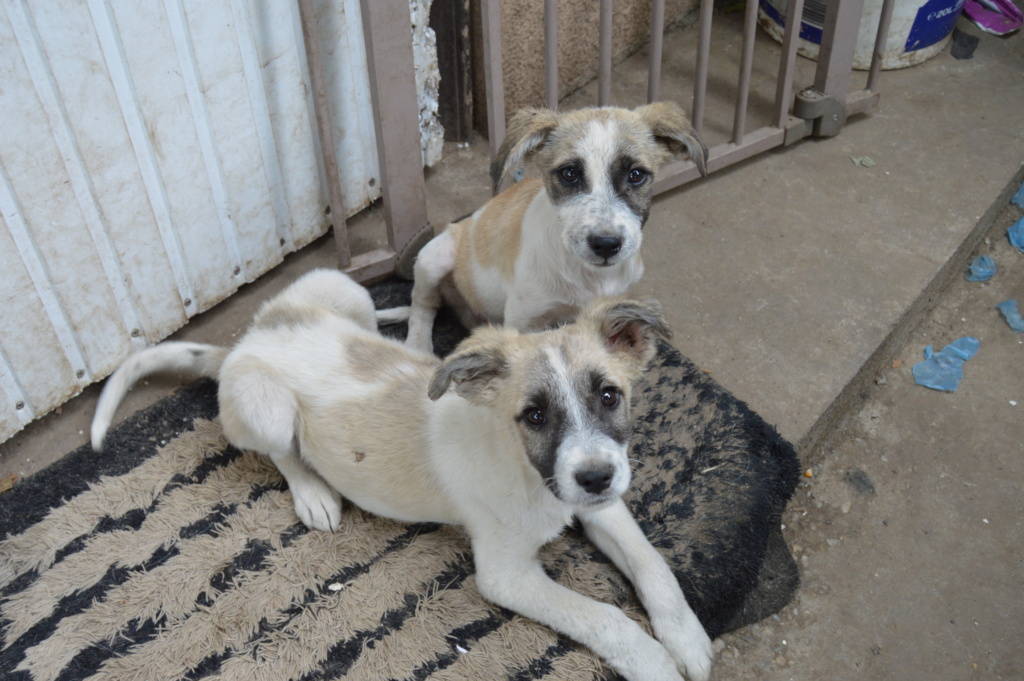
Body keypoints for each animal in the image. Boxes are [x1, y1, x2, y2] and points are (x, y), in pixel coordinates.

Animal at [90, 268, 712, 675]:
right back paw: (315, 493)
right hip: (265, 408)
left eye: (610, 396)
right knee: (283, 451)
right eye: (534, 415)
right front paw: (655, 663)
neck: (527, 470)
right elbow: (604, 616)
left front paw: (686, 638)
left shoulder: (598, 499)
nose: (596, 479)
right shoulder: (506, 575)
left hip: (342, 289)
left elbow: (652, 563)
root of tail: (246, 340)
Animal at [380, 104, 708, 356]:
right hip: (433, 257)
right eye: (569, 174)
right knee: (423, 305)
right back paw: (418, 346)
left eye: (636, 175)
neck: (588, 277)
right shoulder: (522, 318)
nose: (605, 244)